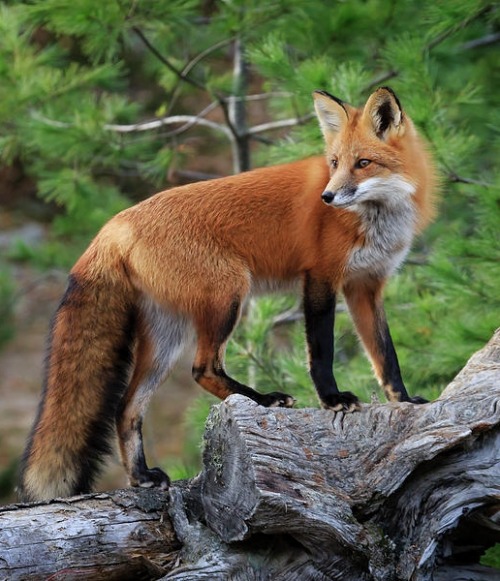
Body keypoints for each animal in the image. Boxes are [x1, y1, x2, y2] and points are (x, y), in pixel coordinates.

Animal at [18, 86, 434, 498]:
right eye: (334, 163)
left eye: (363, 163)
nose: (327, 198)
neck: (377, 217)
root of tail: (114, 224)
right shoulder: (320, 278)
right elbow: (321, 351)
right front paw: (332, 399)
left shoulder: (366, 286)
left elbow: (385, 354)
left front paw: (404, 400)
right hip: (228, 295)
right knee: (202, 369)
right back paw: (262, 399)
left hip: (167, 336)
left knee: (127, 407)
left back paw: (141, 476)